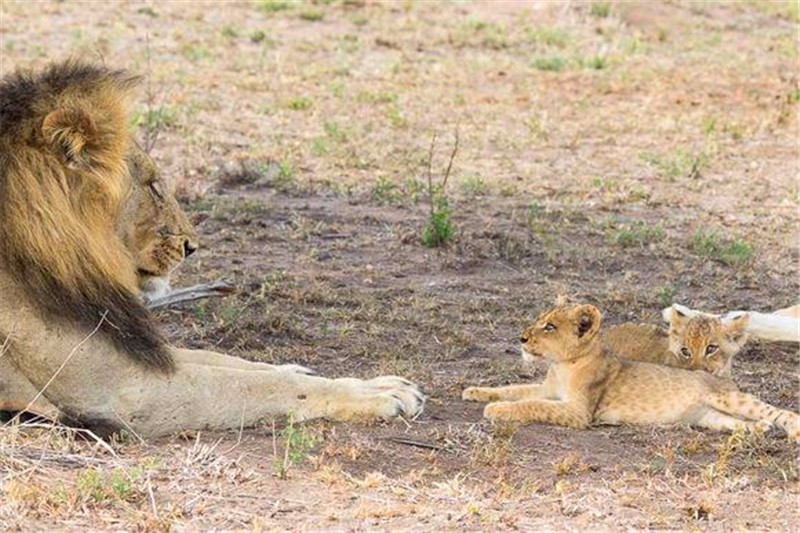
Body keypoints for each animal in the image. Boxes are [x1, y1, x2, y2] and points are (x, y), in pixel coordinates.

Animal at [0, 62, 424, 436]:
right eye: (153, 186)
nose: (192, 246)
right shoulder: (119, 391)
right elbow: (255, 386)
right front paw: (379, 393)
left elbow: (219, 359)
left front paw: (301, 368)